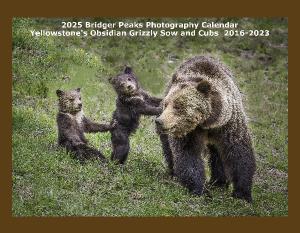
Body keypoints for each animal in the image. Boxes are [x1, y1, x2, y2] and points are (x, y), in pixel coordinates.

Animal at [156, 55, 256, 202]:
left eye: (178, 106)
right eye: (166, 104)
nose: (160, 121)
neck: (207, 122)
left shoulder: (228, 124)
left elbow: (239, 153)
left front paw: (242, 193)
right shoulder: (190, 132)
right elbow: (188, 155)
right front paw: (201, 190)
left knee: (218, 154)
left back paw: (219, 182)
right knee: (169, 149)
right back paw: (174, 173)